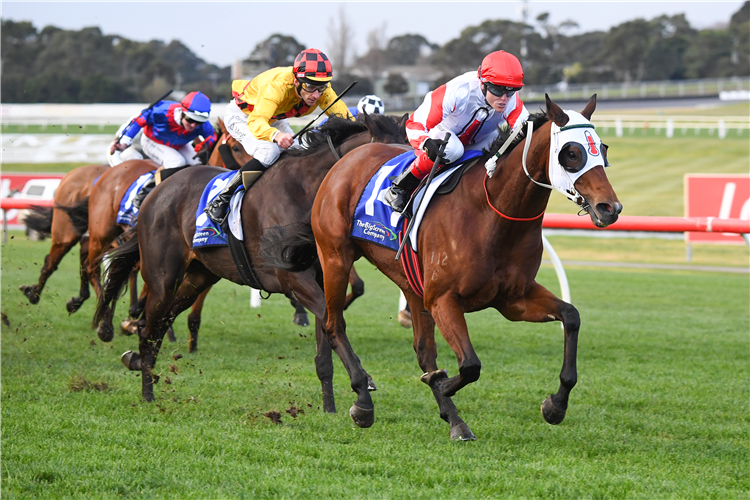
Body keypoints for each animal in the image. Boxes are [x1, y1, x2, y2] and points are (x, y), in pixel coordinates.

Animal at [94, 111, 412, 404]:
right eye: (389, 166)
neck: (307, 193)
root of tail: (156, 192)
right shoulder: (293, 278)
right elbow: (331, 320)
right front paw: (363, 384)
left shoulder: (323, 275)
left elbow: (325, 336)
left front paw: (330, 406)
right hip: (163, 276)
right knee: (150, 324)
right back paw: (147, 390)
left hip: (198, 275)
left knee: (161, 321)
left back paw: (138, 361)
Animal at [264, 94, 624, 438]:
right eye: (572, 153)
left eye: (603, 149)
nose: (610, 208)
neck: (492, 215)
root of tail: (345, 160)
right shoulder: (443, 299)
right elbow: (469, 365)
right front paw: (439, 382)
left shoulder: (513, 299)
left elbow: (571, 317)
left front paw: (555, 405)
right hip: (335, 256)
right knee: (333, 325)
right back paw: (363, 401)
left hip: (410, 283)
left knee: (422, 349)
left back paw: (454, 420)